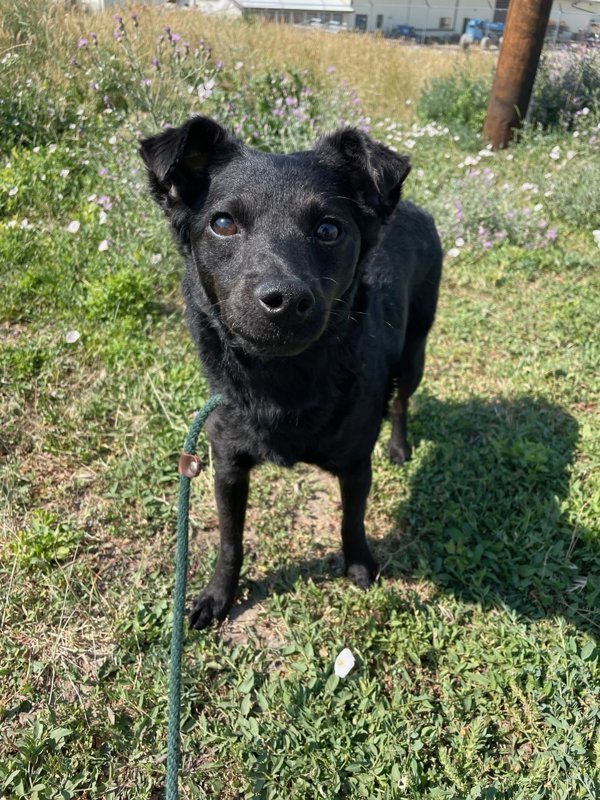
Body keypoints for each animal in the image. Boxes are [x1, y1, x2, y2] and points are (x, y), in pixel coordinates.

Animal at [139, 117, 440, 632]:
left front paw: (359, 566)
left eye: (328, 229)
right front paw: (218, 596)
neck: (281, 383)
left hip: (414, 350)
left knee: (401, 400)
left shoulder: (356, 464)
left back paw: (400, 446)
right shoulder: (226, 463)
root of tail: (412, 207)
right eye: (223, 223)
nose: (283, 300)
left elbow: (351, 521)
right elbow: (230, 540)